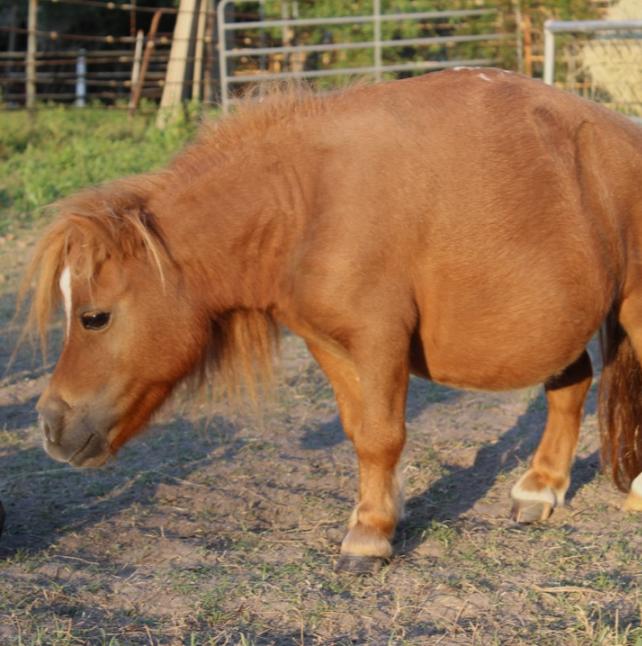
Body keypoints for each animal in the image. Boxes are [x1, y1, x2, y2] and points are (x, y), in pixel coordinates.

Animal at [22, 68, 642, 572]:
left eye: (94, 318)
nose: (50, 425)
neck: (304, 206)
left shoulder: (379, 338)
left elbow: (381, 435)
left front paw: (368, 537)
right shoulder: (328, 342)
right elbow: (358, 430)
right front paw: (380, 511)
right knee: (571, 386)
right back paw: (541, 487)